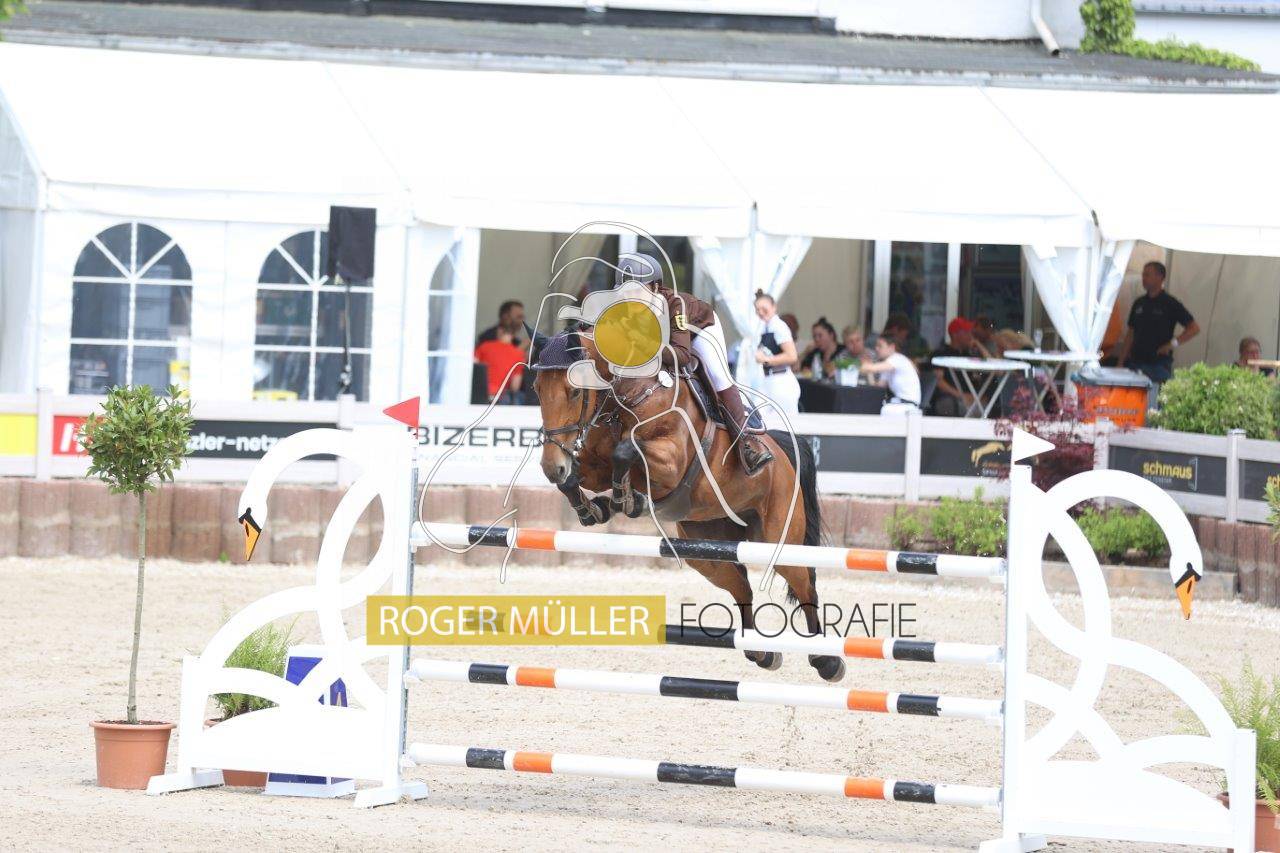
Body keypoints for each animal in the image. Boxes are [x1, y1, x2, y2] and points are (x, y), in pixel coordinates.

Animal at [529, 329, 846, 683]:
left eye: (573, 391)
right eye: (537, 389)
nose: (550, 466)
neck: (624, 398)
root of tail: (780, 450)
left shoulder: (670, 462)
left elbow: (625, 450)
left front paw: (625, 498)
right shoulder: (594, 464)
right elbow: (578, 477)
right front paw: (596, 507)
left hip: (779, 540)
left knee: (805, 587)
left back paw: (827, 661)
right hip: (706, 551)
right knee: (743, 590)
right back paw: (760, 652)